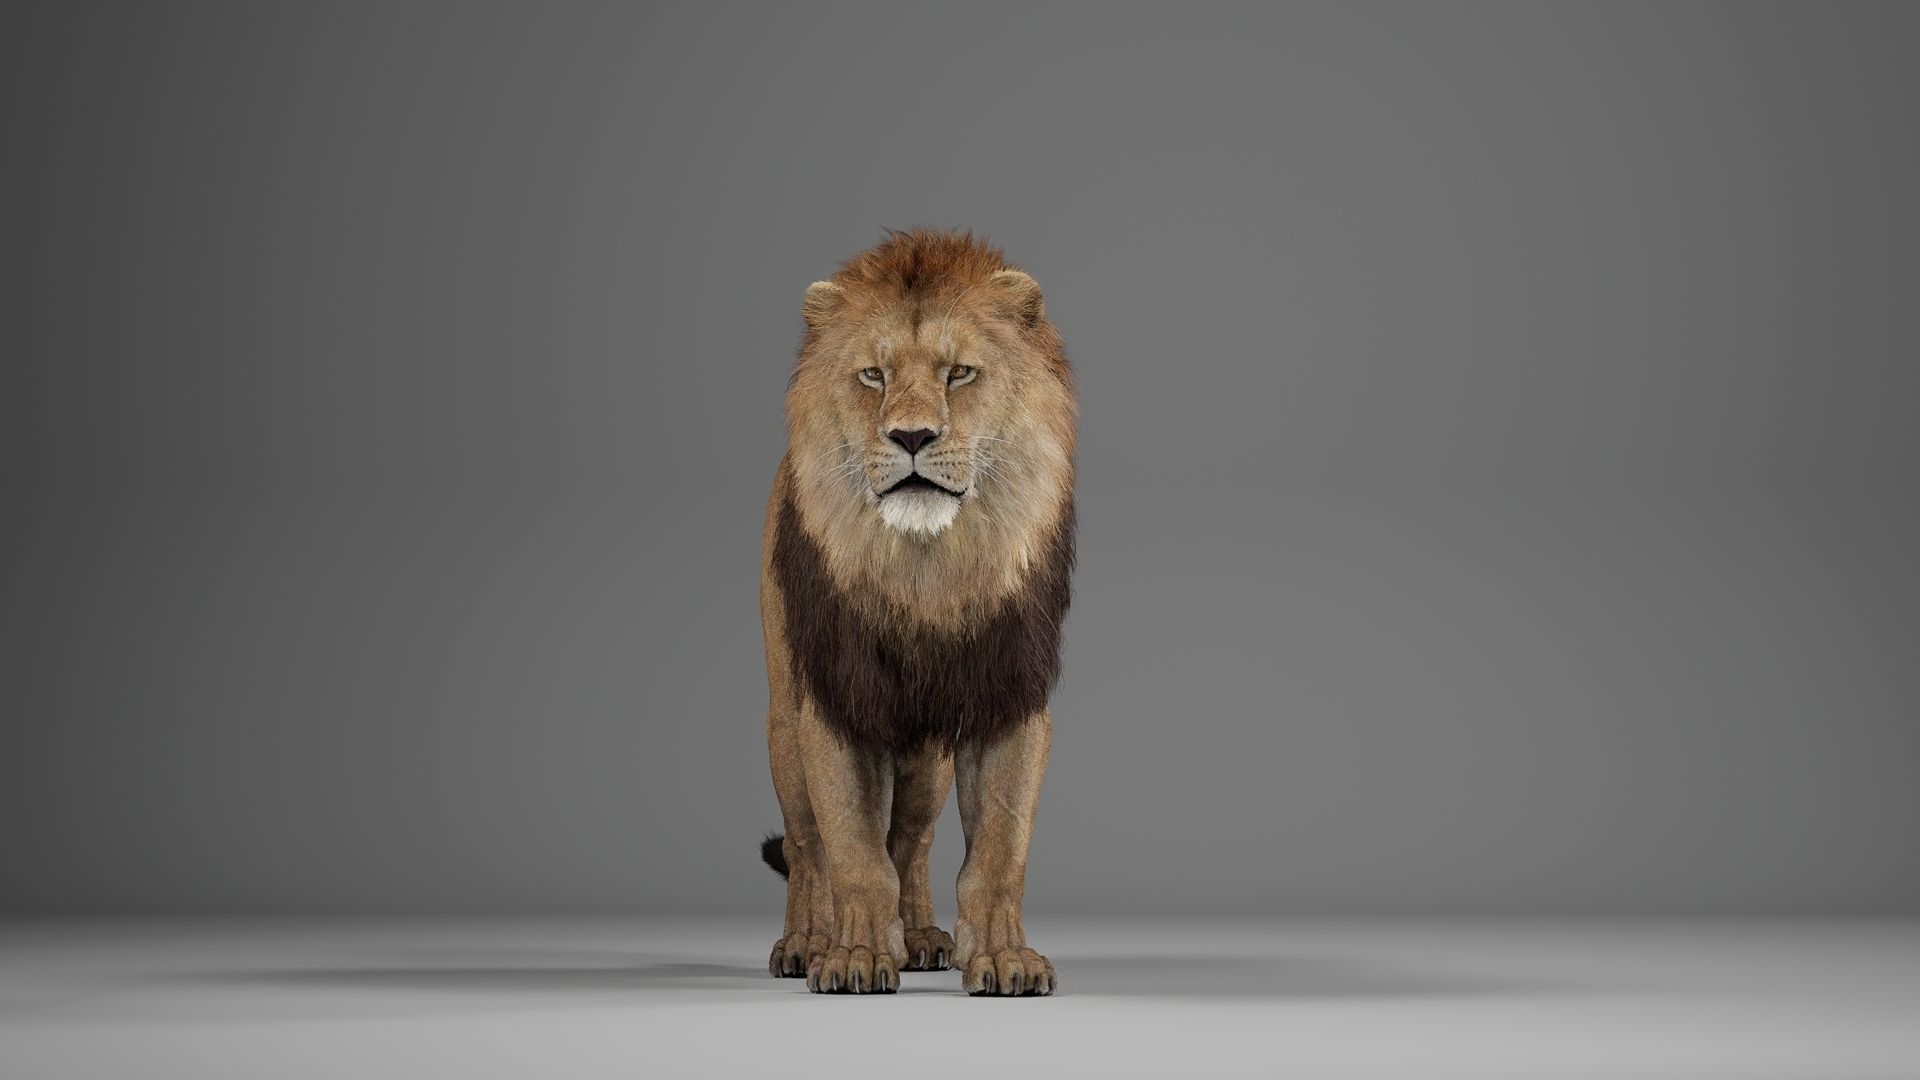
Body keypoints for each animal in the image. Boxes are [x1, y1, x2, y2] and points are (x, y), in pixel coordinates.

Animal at [757, 228, 1076, 996]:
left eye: (959, 373)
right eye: (873, 375)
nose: (910, 436)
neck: (925, 570)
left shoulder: (1008, 694)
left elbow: (997, 851)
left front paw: (1002, 958)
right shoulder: (835, 699)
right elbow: (851, 850)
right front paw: (854, 955)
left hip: (927, 754)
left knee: (912, 838)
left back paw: (923, 938)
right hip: (784, 720)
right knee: (809, 846)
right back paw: (805, 943)